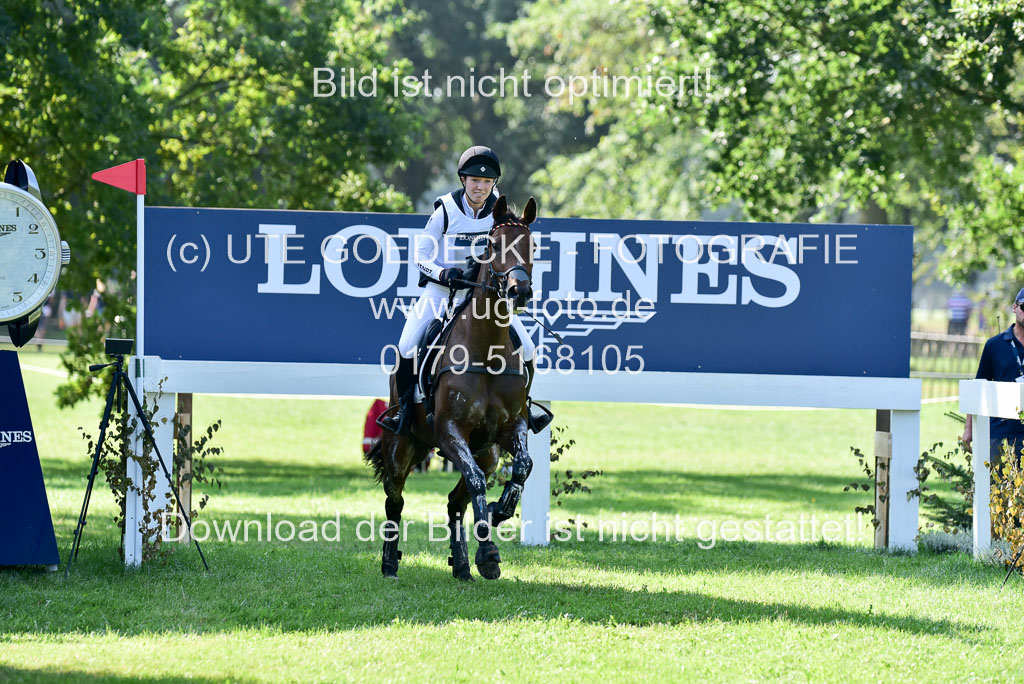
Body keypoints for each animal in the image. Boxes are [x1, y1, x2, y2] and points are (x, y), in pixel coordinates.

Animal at [368, 194, 544, 581]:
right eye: (493, 245)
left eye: (532, 246)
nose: (520, 291)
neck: (487, 351)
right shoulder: (450, 431)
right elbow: (477, 481)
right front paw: (489, 552)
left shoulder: (513, 426)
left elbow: (523, 467)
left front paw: (497, 514)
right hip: (401, 447)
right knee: (395, 499)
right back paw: (389, 564)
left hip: (487, 452)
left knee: (455, 502)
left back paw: (462, 564)